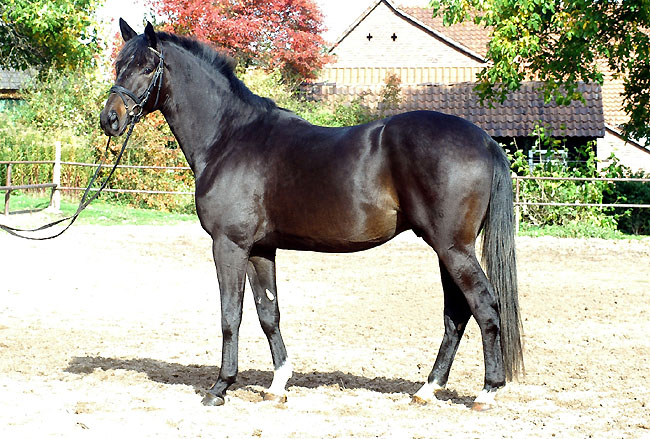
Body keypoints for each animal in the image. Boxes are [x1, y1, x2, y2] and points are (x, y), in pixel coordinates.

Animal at [102, 19, 528, 412]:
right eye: (119, 64)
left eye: (146, 66)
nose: (110, 120)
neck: (229, 138)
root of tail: (485, 140)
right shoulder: (261, 250)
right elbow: (268, 313)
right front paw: (277, 385)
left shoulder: (229, 246)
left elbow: (230, 315)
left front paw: (220, 387)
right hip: (447, 249)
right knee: (457, 314)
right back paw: (427, 389)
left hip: (453, 248)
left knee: (484, 306)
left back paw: (486, 392)